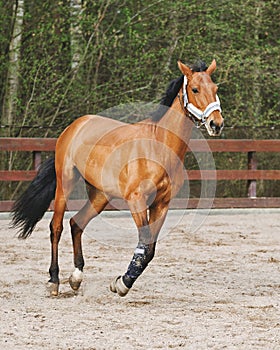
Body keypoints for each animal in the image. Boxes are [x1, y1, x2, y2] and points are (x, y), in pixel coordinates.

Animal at [11, 58, 223, 296]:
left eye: (215, 88)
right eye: (195, 89)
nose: (216, 124)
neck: (158, 146)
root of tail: (74, 126)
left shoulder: (161, 203)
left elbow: (150, 249)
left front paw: (121, 281)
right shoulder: (136, 200)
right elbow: (145, 245)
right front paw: (122, 284)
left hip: (100, 195)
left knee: (77, 223)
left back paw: (76, 277)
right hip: (65, 183)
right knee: (56, 227)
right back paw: (54, 280)